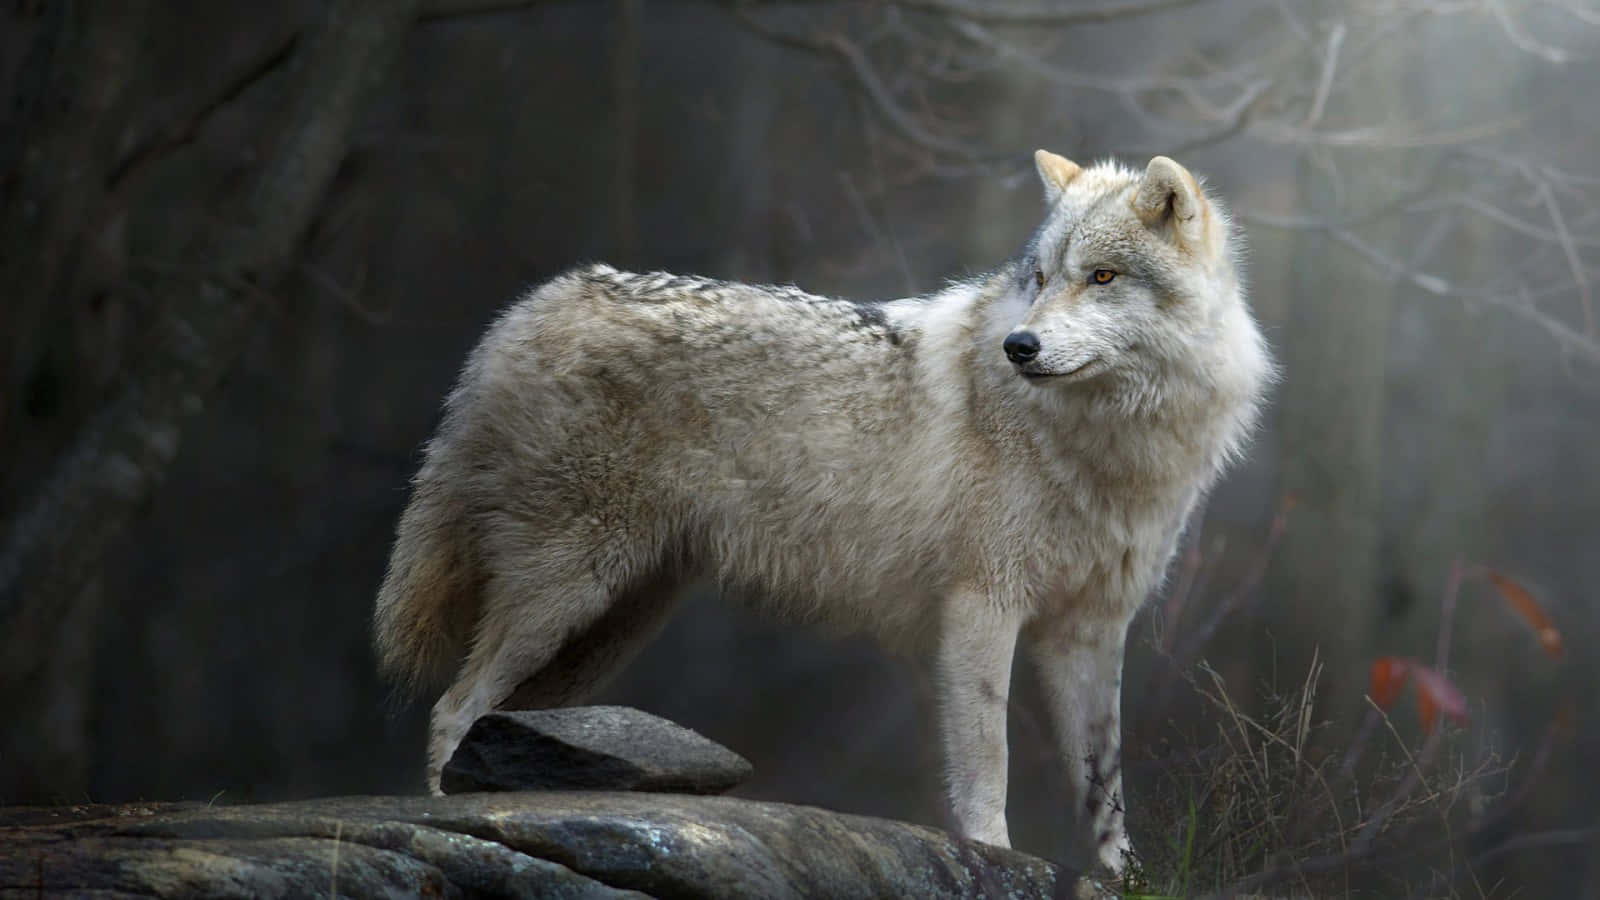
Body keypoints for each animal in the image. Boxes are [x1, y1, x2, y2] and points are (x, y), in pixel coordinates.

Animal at [374, 150, 1271, 876]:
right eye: (1044, 278)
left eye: (1103, 277)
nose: (1020, 347)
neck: (1111, 443)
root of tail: (532, 308)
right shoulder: (982, 607)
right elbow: (989, 758)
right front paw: (994, 854)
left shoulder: (1091, 633)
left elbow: (1105, 787)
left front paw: (1128, 878)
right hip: (567, 595)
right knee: (454, 708)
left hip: (604, 630)